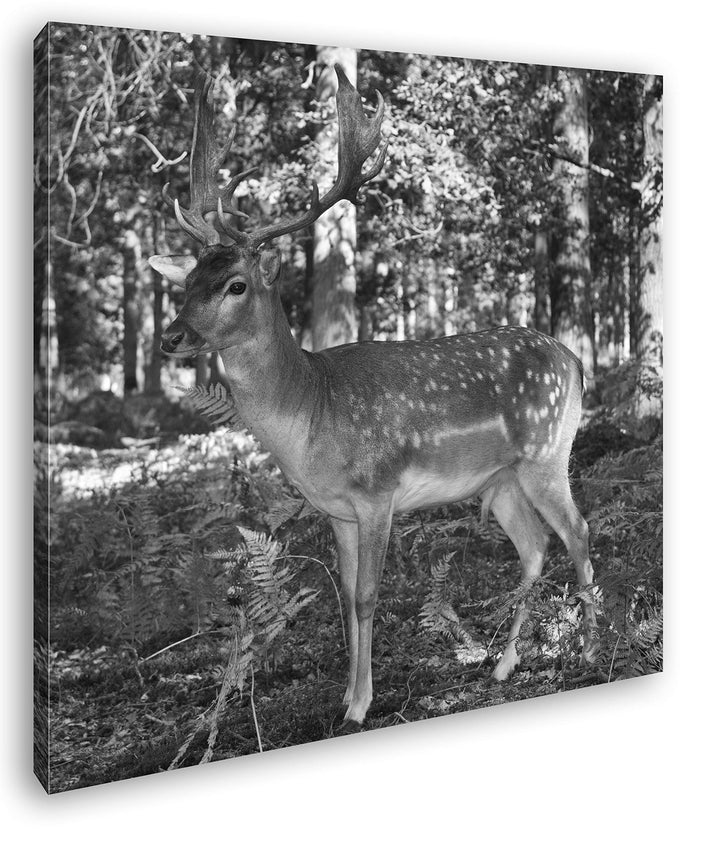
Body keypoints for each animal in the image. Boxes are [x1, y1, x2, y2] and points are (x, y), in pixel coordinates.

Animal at [149, 66, 599, 726]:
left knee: (578, 532)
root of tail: (575, 361)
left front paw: (360, 705)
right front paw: (345, 693)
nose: (172, 336)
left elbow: (366, 596)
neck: (311, 414)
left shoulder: (378, 492)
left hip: (547, 453)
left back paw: (591, 648)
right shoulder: (335, 508)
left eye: (234, 284)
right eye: (187, 283)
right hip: (501, 479)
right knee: (536, 546)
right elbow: (341, 595)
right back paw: (503, 665)